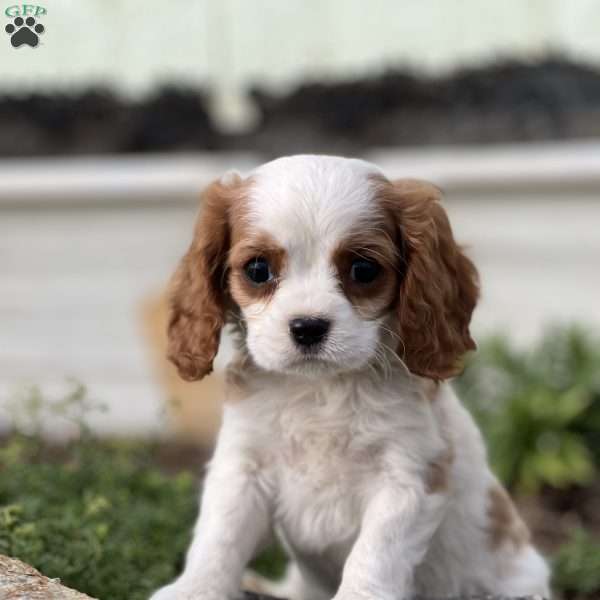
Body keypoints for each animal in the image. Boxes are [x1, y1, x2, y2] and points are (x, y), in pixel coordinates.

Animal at [152, 156, 552, 600]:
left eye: (363, 269)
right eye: (258, 270)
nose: (308, 327)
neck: (321, 388)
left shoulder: (406, 480)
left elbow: (373, 556)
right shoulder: (242, 468)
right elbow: (219, 536)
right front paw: (194, 589)